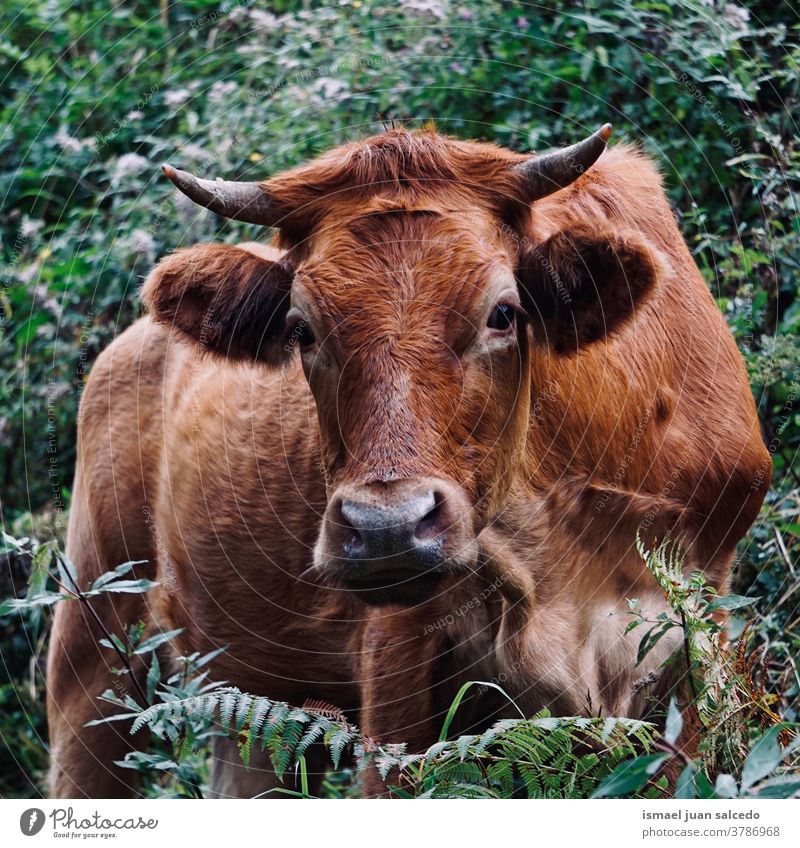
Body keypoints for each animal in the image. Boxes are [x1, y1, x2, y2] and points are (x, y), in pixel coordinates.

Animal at [45, 124, 768, 796]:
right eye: (301, 328)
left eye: (504, 313)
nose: (387, 527)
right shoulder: (396, 660)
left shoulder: (698, 636)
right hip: (94, 649)